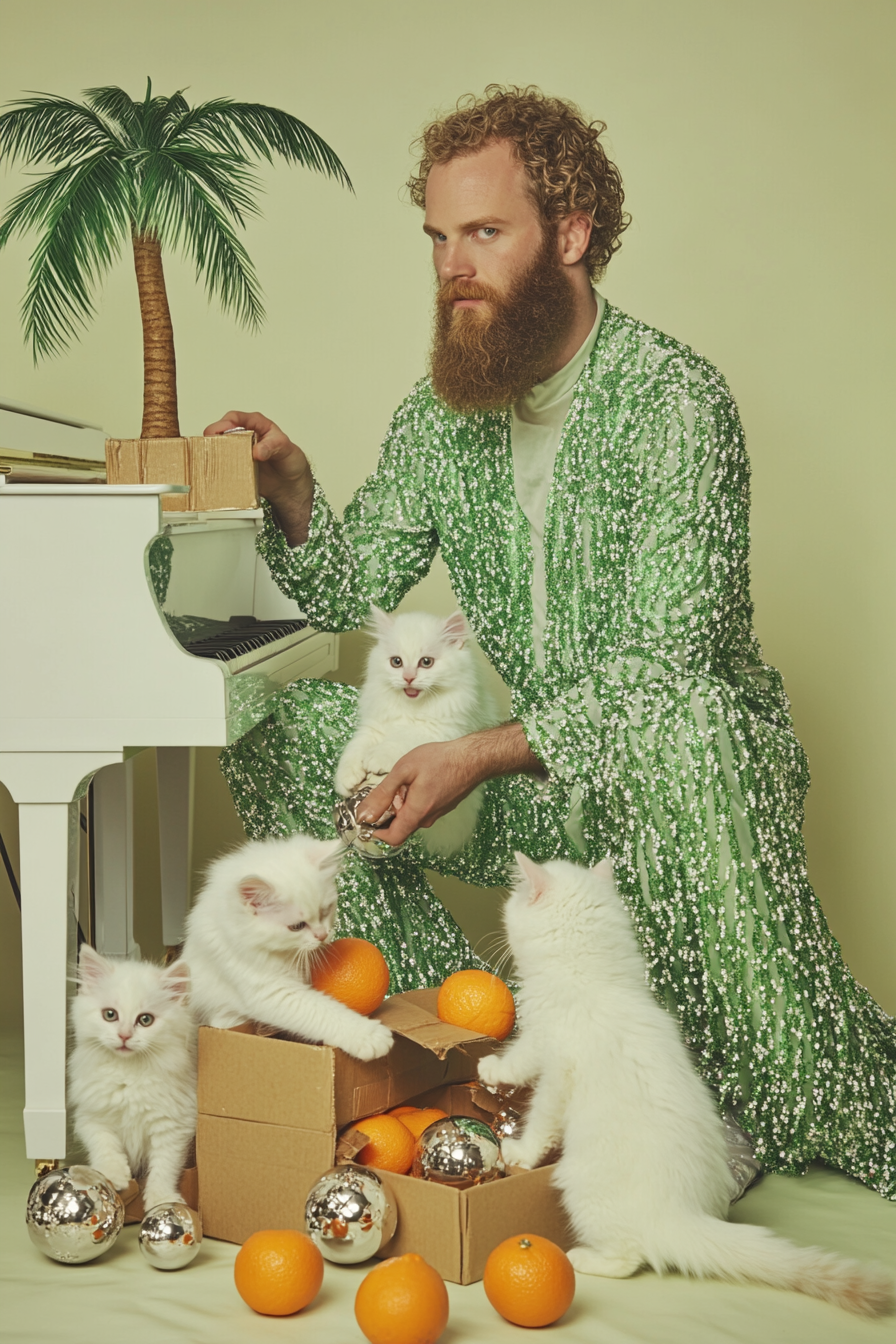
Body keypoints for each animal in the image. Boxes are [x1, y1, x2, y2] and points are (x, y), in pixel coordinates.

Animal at [69, 946, 197, 1209]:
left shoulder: (172, 1127)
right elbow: (104, 1145)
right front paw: (114, 1175)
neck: (128, 1074)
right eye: (110, 1015)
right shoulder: (92, 1117)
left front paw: (161, 1200)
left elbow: (164, 1168)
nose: (124, 1035)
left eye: (145, 1020)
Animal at [182, 827, 392, 1059]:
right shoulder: (271, 989)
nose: (322, 936)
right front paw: (371, 1036)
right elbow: (323, 1011)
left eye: (325, 911)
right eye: (297, 926)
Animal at [335, 607, 502, 854]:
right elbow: (354, 749)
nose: (408, 677)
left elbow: (398, 740)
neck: (411, 708)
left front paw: (375, 760)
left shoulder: (435, 731)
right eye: (396, 662)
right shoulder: (374, 726)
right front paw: (347, 778)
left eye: (426, 662)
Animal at [480, 854, 891, 1317]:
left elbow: (531, 1100)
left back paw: (582, 1257)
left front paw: (496, 1086)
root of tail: (684, 1217)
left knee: (630, 1257)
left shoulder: (552, 1065)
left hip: (581, 1187)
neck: (595, 978)